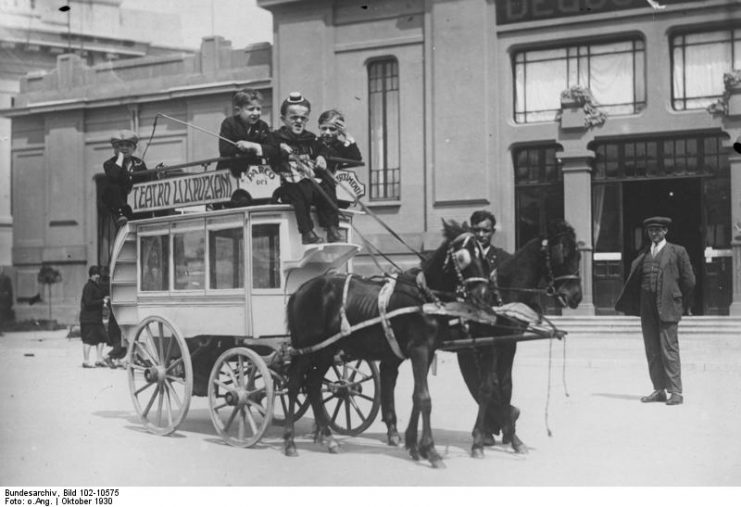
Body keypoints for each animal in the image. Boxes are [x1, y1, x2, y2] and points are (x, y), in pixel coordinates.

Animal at [284, 220, 492, 470]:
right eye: (462, 257)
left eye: (484, 256)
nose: (483, 296)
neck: (424, 298)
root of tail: (300, 290)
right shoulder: (420, 350)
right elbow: (424, 398)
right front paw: (431, 450)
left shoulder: (427, 351)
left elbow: (416, 396)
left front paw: (414, 445)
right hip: (307, 348)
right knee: (295, 383)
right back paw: (290, 441)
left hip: (326, 350)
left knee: (314, 384)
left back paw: (328, 438)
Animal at [378, 220, 580, 458]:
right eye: (563, 255)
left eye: (578, 255)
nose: (576, 296)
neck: (500, 296)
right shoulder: (492, 345)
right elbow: (488, 388)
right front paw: (481, 440)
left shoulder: (507, 344)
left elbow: (505, 386)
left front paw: (512, 437)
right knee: (389, 374)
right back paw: (393, 429)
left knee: (388, 372)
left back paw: (394, 430)